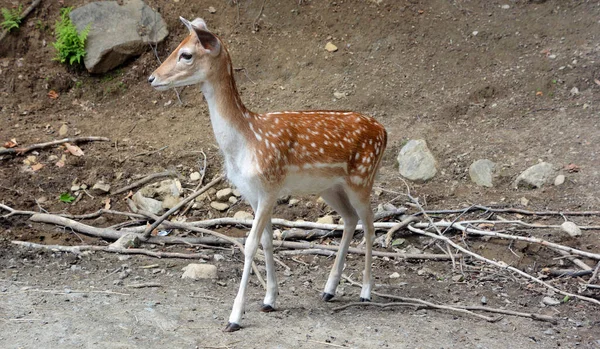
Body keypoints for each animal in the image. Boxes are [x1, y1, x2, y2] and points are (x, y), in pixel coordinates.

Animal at [148, 17, 386, 332]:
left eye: (186, 54)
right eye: (176, 46)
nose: (152, 78)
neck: (246, 141)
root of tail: (384, 131)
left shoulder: (270, 186)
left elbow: (249, 245)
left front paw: (234, 317)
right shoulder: (251, 192)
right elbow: (266, 241)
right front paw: (269, 299)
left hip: (363, 177)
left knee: (370, 225)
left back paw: (366, 292)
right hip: (330, 187)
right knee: (349, 219)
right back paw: (329, 289)